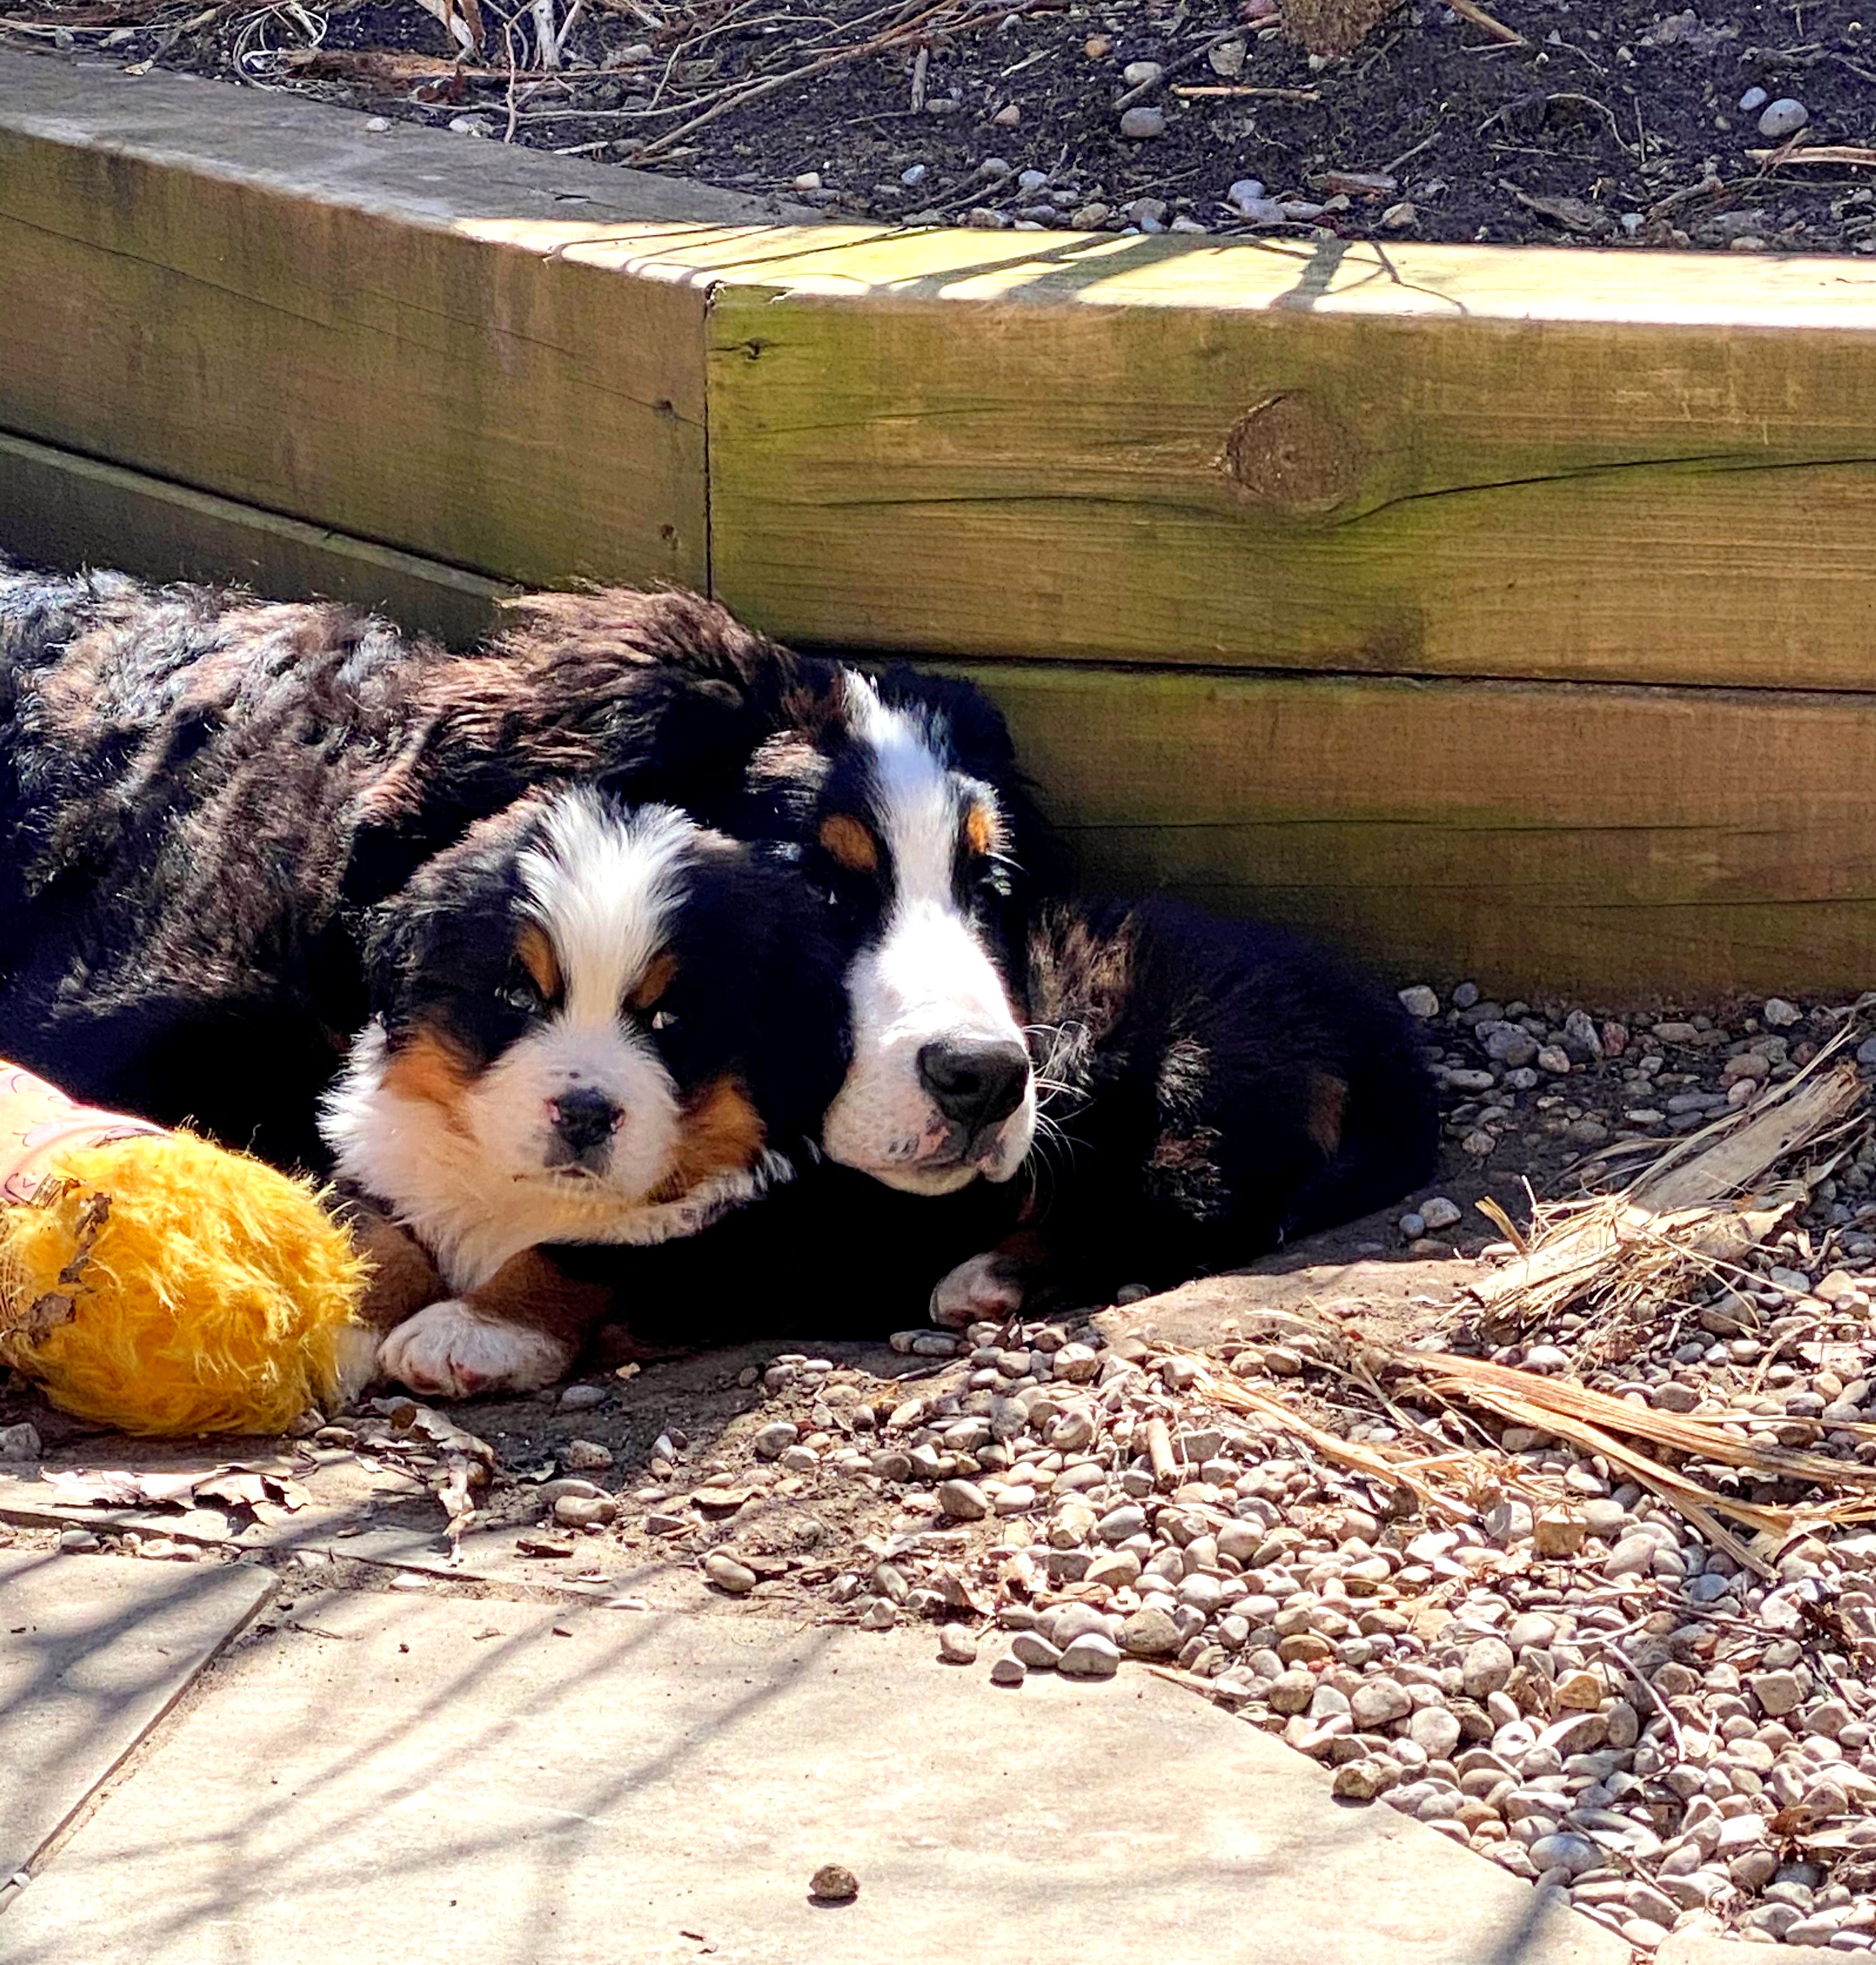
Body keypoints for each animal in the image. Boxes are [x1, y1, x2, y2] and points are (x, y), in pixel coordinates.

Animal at [322, 782, 844, 1399]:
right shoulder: (386, 1161)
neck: (530, 1194)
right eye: (519, 995)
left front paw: (468, 1330)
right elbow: (367, 1231)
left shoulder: (752, 1234)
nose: (585, 1114)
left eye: (669, 1017)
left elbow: (585, 1256)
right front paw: (334, 1315)